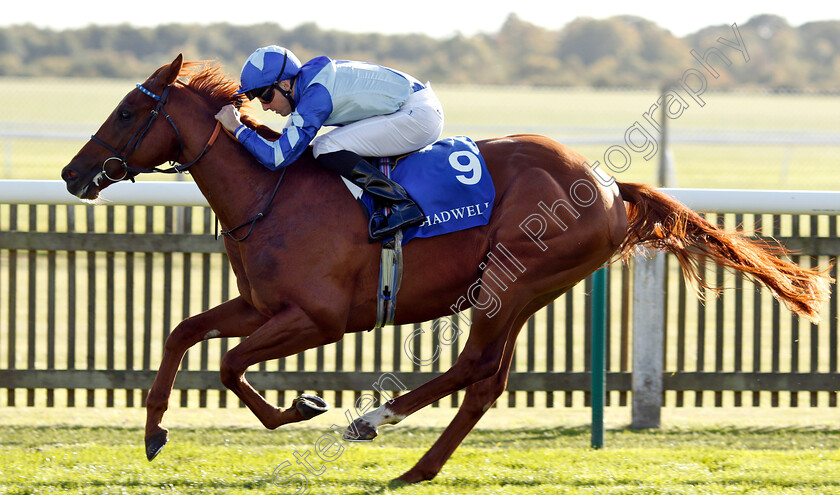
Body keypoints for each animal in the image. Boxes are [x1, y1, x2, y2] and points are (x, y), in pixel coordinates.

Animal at [60, 55, 832, 484]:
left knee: (474, 367)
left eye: (127, 110)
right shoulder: (261, 304)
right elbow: (184, 333)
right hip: (521, 289)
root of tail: (611, 186)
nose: (70, 174)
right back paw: (418, 465)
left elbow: (228, 364)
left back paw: (373, 422)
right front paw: (154, 431)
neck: (269, 192)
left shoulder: (317, 318)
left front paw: (301, 407)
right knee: (487, 379)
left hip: (512, 280)